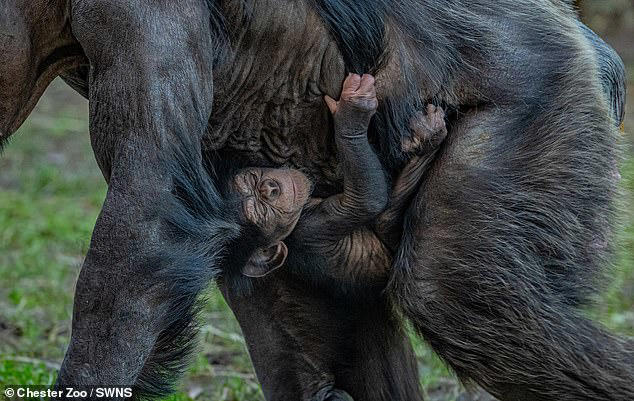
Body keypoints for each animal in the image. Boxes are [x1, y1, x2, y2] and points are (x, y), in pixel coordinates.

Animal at [228, 73, 444, 292]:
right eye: (261, 211)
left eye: (253, 179)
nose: (270, 188)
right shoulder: (310, 229)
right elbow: (365, 202)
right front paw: (354, 109)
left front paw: (425, 134)